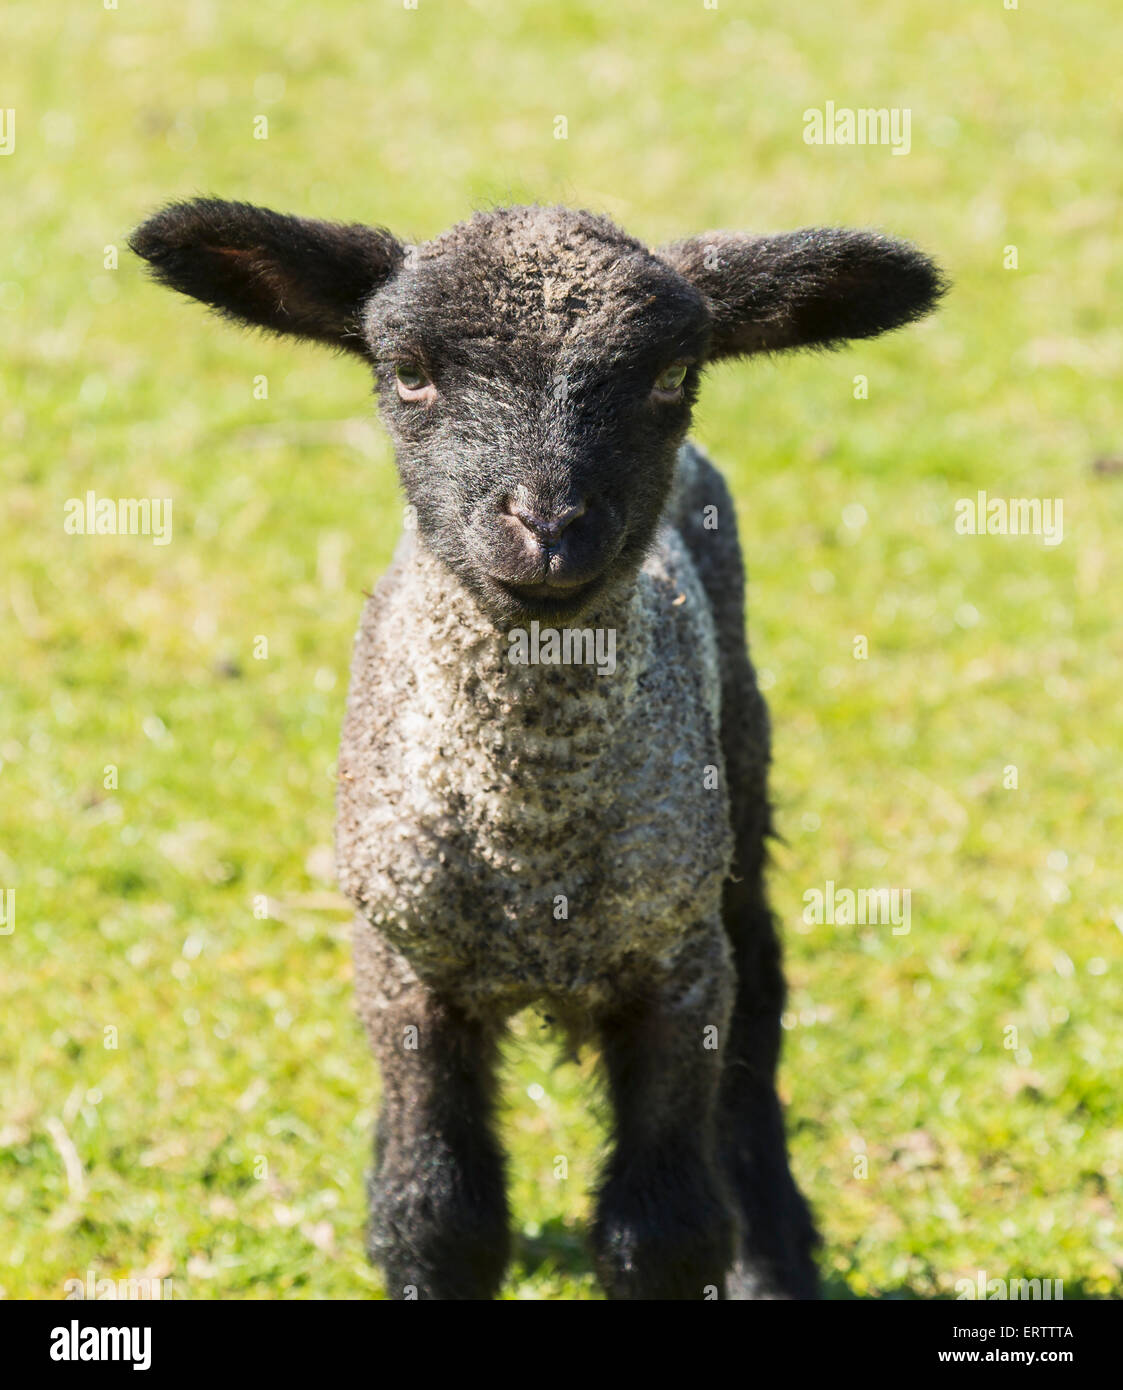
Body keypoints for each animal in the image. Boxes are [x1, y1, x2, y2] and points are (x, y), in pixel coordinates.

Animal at [127, 201, 945, 1295]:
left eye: (671, 375)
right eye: (407, 370)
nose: (549, 529)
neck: (531, 846)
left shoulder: (677, 963)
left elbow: (663, 1228)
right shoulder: (404, 965)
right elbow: (436, 1215)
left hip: (738, 791)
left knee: (762, 1007)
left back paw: (774, 1257)